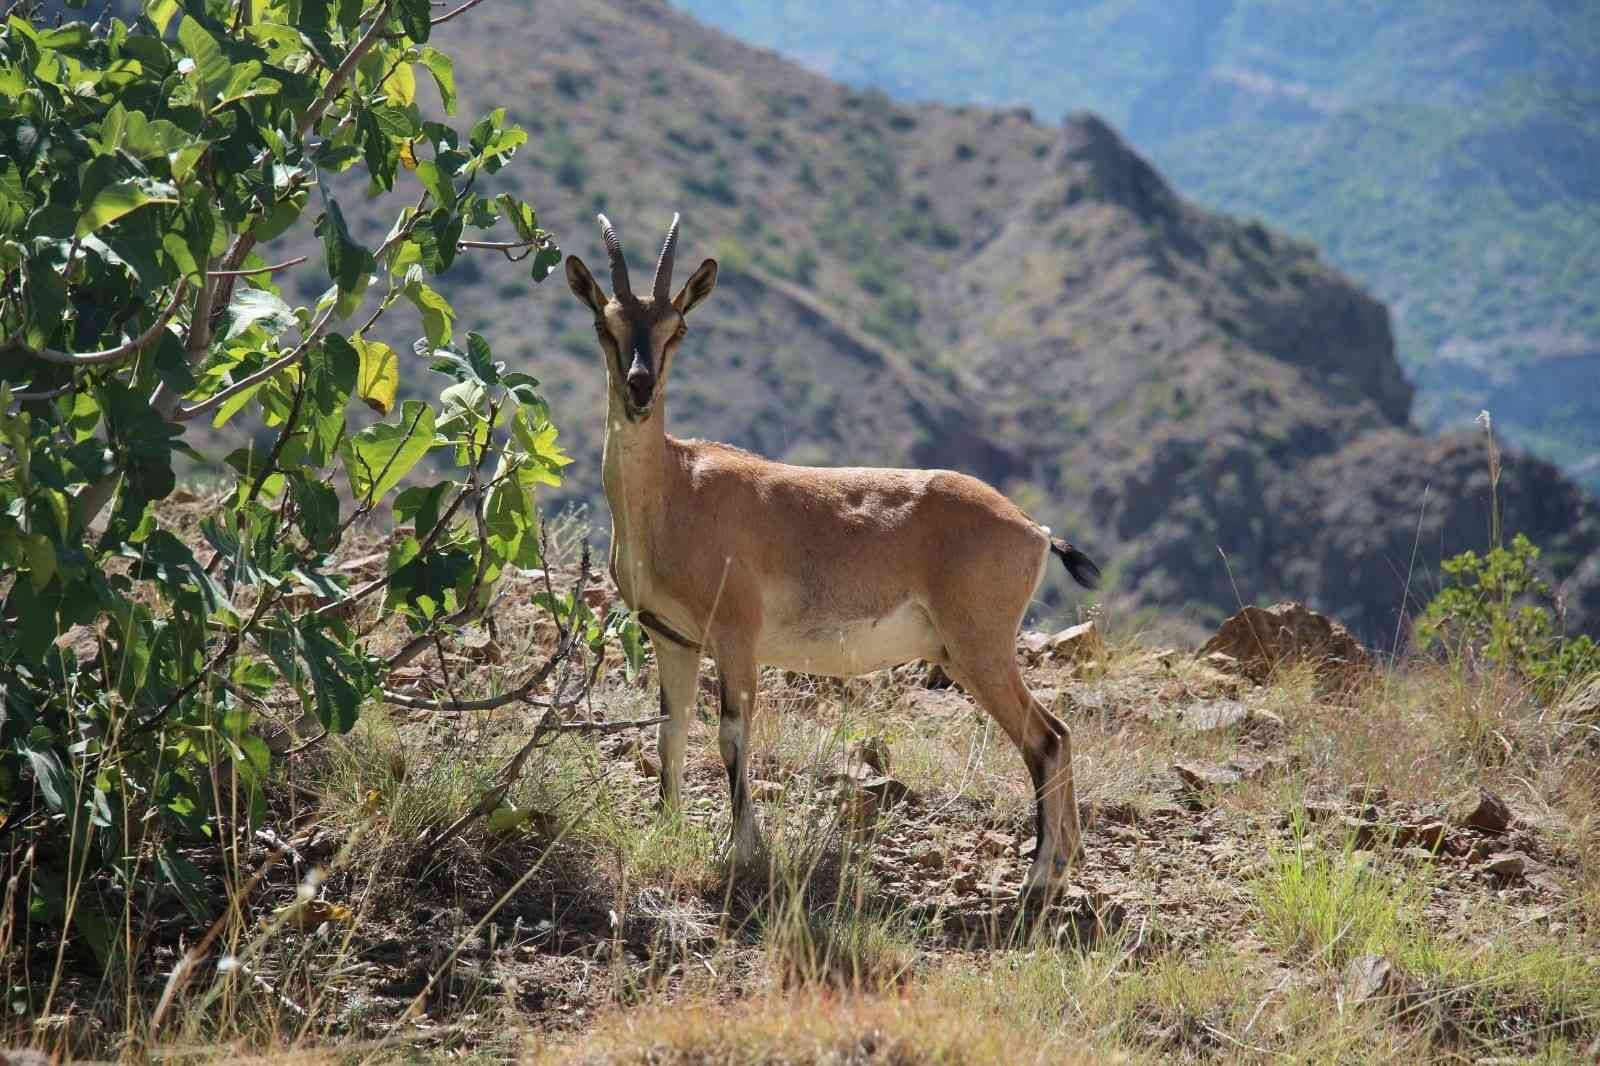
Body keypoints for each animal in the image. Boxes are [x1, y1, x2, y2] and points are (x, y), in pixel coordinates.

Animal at [563, 211, 1100, 889]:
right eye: (604, 324)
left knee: (1048, 738)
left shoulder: (736, 638)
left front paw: (741, 849)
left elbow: (732, 736)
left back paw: (1039, 881)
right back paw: (1061, 866)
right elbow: (671, 734)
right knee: (1057, 735)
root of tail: (1033, 529)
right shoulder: (673, 640)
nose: (640, 388)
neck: (675, 489)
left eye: (676, 327)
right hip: (965, 655)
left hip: (981, 650)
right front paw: (667, 829)